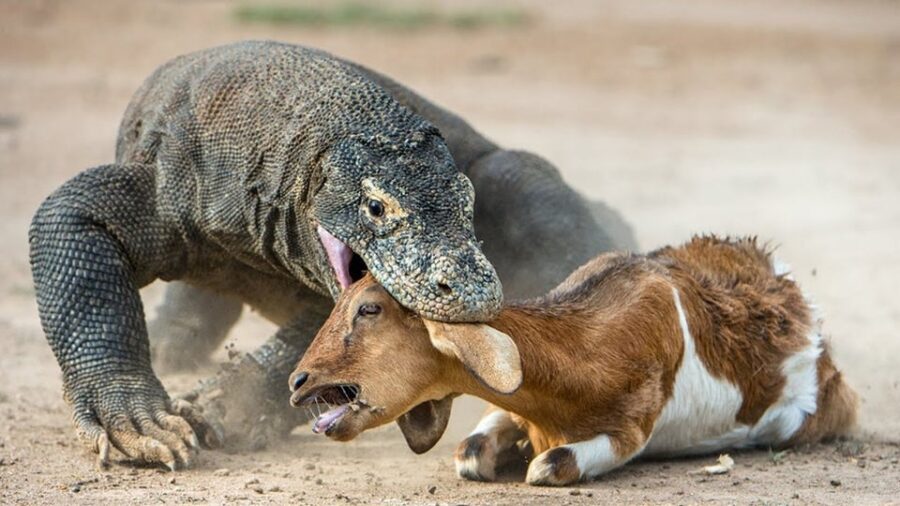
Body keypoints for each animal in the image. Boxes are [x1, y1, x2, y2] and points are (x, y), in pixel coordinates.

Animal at [288, 237, 856, 486]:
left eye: (370, 308)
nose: (298, 381)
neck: (585, 344)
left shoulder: (629, 430)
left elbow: (549, 465)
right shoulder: (511, 407)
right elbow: (470, 451)